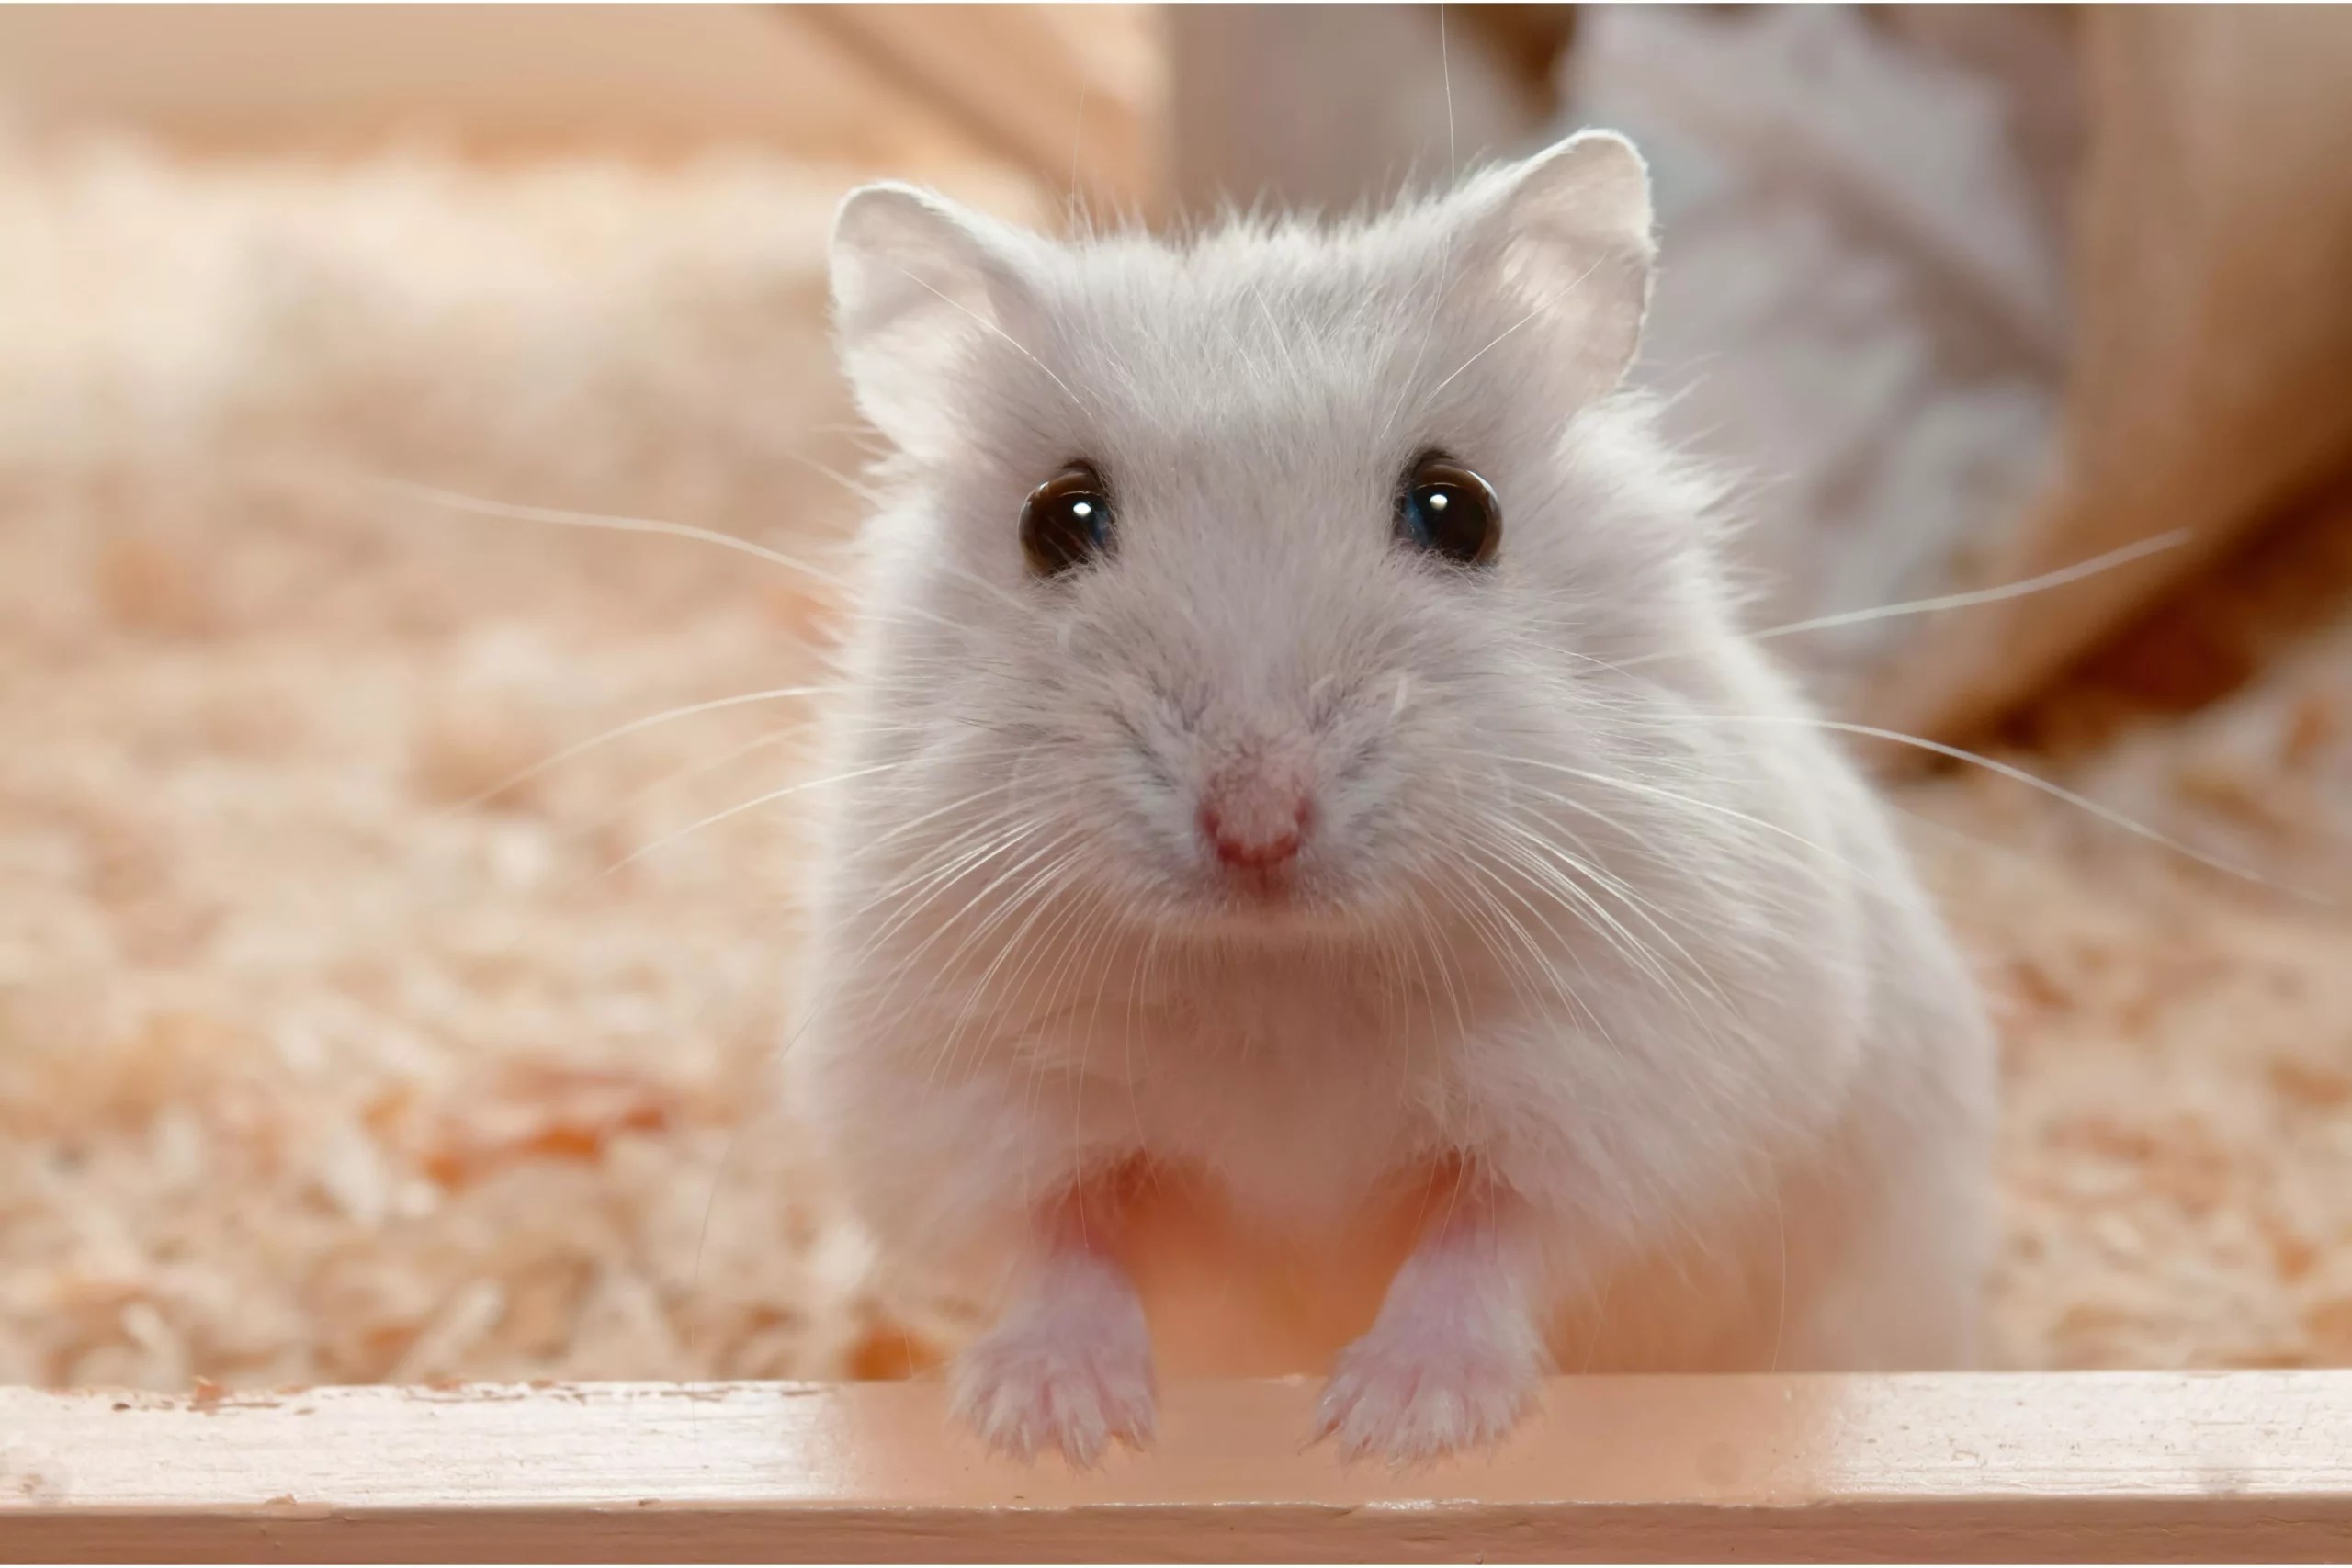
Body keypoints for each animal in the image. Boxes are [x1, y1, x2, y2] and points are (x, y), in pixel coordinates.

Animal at [788, 131, 1996, 1467]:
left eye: (1457, 507)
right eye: (1058, 518)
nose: (1257, 823)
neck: (1282, 974)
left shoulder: (1630, 1089)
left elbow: (1491, 1240)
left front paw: (1389, 1426)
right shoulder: (965, 1101)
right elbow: (1059, 1242)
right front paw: (1060, 1427)